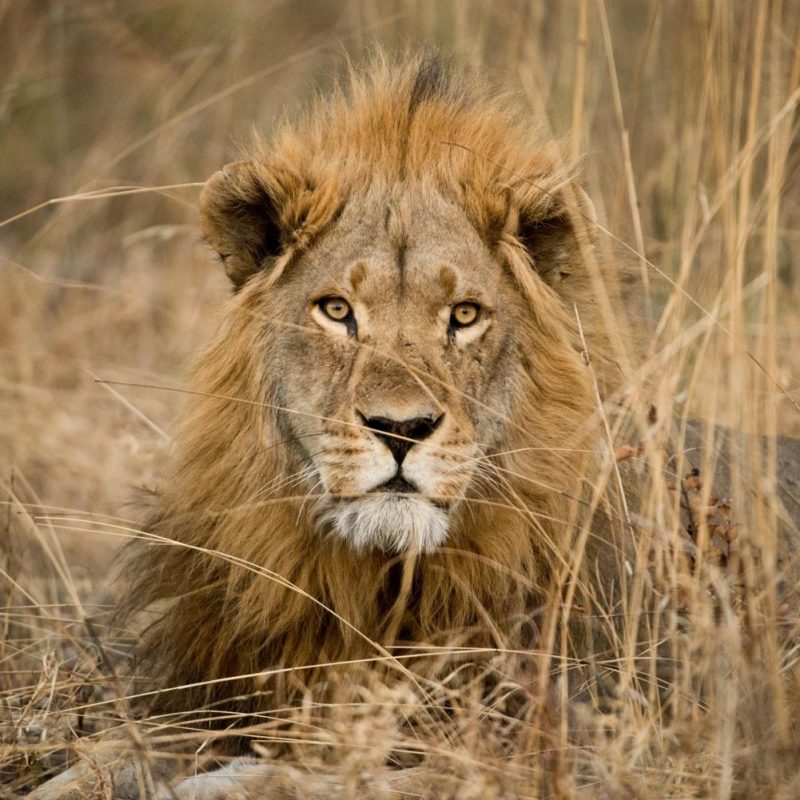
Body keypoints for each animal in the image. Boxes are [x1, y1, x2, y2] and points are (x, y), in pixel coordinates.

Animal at [30, 52, 626, 798]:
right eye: (337, 310)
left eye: (464, 315)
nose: (401, 429)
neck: (372, 587)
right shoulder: (215, 698)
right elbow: (109, 753)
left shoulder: (524, 753)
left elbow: (304, 775)